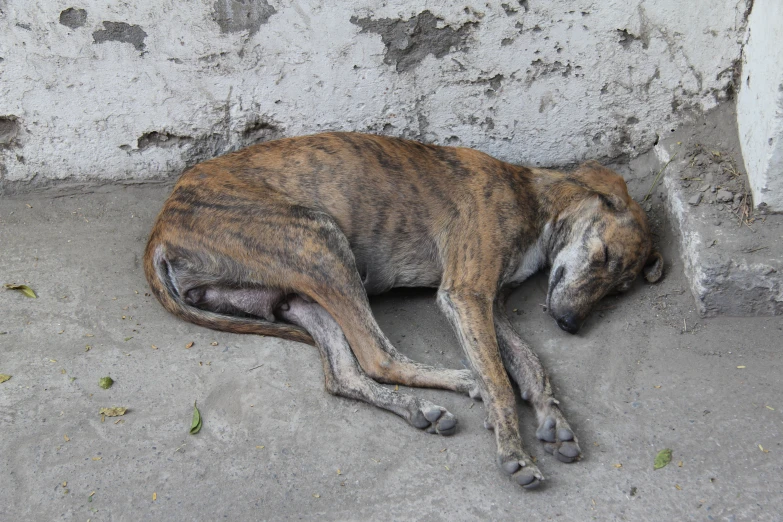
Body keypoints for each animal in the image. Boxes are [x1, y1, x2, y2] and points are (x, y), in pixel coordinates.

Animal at [142, 131, 660, 488]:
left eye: (619, 289)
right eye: (604, 256)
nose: (569, 324)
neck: (534, 196)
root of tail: (160, 229)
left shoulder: (487, 303)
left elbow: (531, 365)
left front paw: (553, 419)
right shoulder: (466, 294)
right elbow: (499, 379)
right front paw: (514, 450)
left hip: (295, 293)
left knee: (343, 374)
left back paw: (421, 409)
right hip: (320, 239)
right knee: (377, 355)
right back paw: (462, 382)